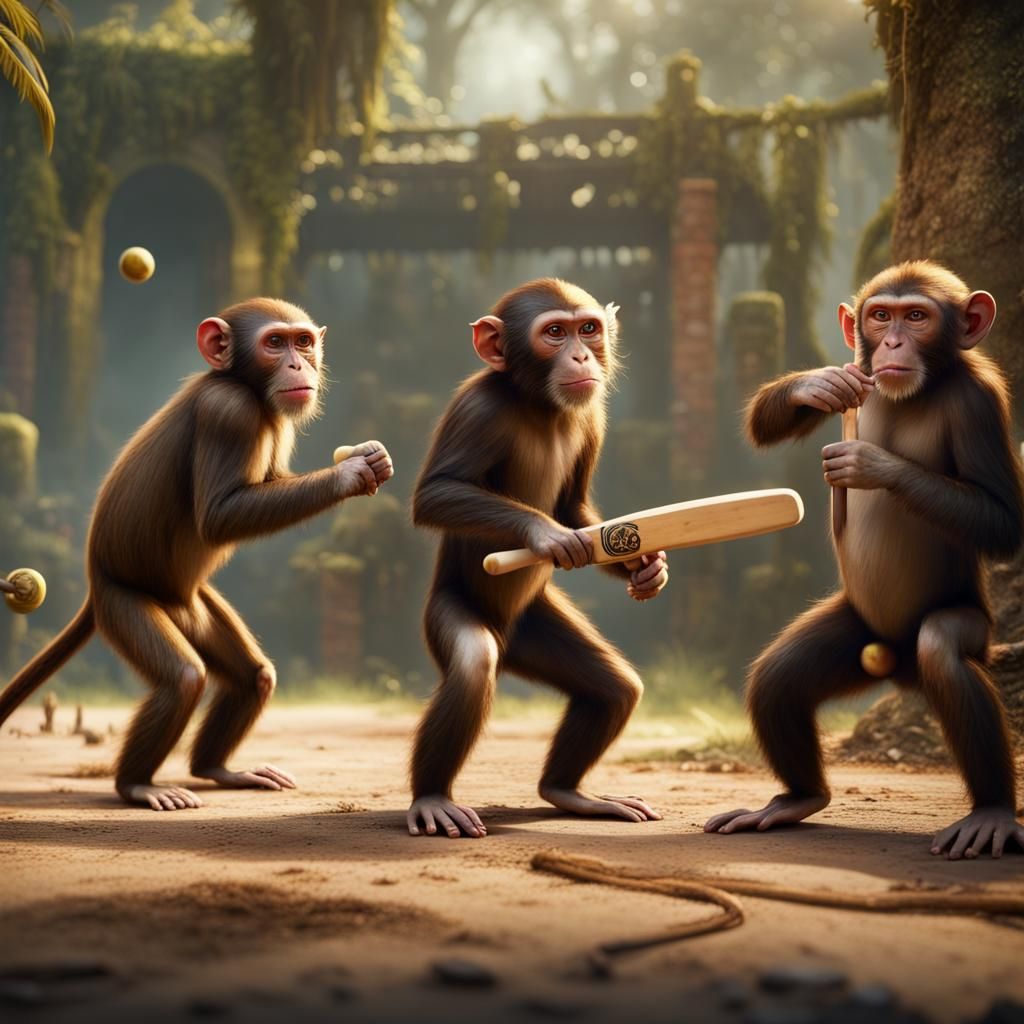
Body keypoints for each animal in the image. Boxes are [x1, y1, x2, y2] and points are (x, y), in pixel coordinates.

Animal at [0, 298, 394, 811]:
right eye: (275, 343)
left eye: (304, 341)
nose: (298, 364)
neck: (245, 385)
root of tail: (93, 583)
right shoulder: (228, 413)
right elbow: (220, 515)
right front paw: (350, 473)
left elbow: (270, 485)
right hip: (122, 604)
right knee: (183, 677)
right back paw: (138, 785)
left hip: (196, 609)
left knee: (252, 677)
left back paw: (219, 769)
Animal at [407, 278, 669, 839]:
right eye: (554, 333)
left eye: (587, 328)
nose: (580, 354)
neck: (539, 405)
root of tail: (509, 644)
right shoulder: (476, 408)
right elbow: (438, 492)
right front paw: (546, 536)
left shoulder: (593, 418)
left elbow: (574, 507)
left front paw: (649, 567)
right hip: (447, 614)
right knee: (472, 666)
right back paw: (433, 798)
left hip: (536, 628)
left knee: (614, 689)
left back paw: (569, 793)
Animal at [705, 260, 1024, 859]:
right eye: (880, 317)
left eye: (916, 317)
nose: (894, 342)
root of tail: (897, 669)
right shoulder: (861, 383)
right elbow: (766, 421)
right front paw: (817, 383)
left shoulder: (979, 403)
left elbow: (1003, 519)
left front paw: (871, 463)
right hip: (858, 635)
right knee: (778, 677)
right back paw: (793, 800)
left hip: (971, 631)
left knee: (942, 650)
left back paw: (991, 813)